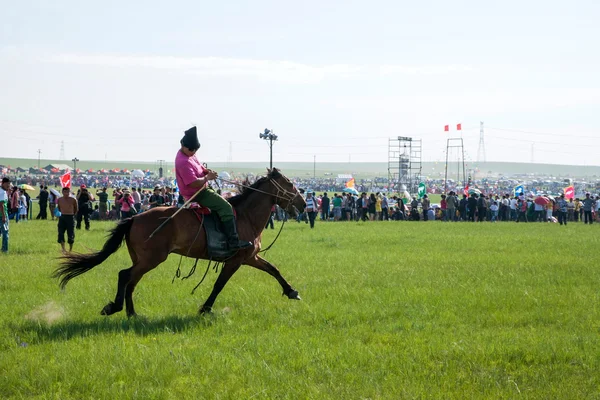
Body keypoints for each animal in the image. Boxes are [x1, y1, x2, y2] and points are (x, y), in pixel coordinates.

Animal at [53, 168, 308, 316]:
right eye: (289, 183)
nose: (304, 203)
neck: (245, 216)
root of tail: (135, 217)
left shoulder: (250, 257)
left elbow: (274, 270)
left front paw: (292, 291)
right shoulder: (236, 260)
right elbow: (219, 285)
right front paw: (205, 308)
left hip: (143, 259)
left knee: (131, 281)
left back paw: (131, 314)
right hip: (152, 258)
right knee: (125, 276)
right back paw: (116, 308)